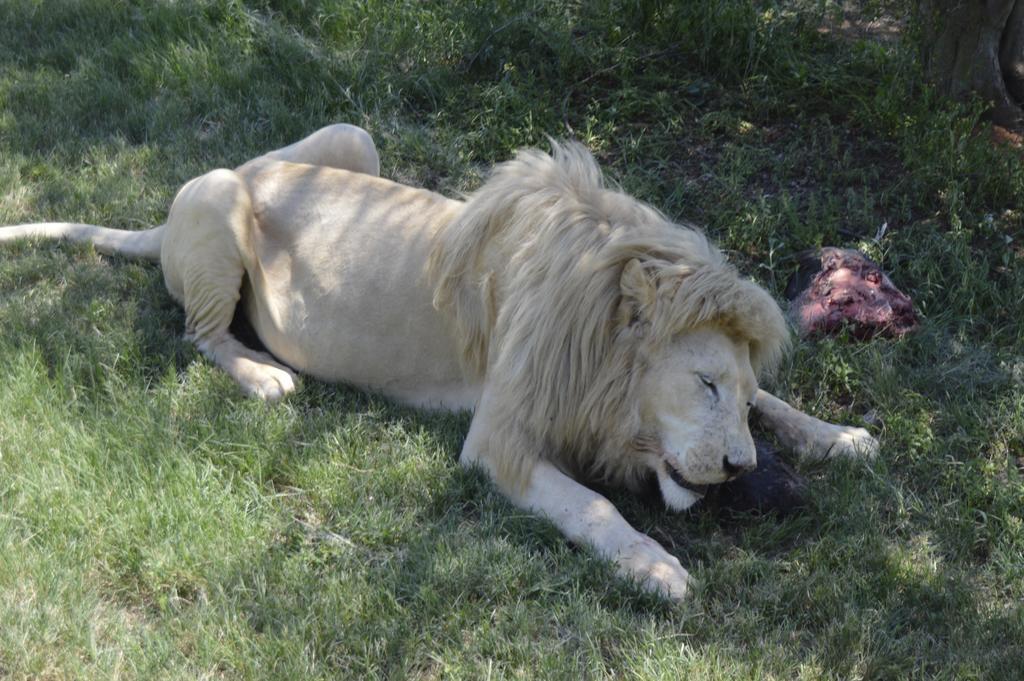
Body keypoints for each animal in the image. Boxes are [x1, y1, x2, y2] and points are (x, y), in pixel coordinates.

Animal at [0, 124, 880, 598]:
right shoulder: (499, 439)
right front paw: (655, 566)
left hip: (351, 139)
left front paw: (840, 436)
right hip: (218, 203)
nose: (739, 468)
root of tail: (176, 202)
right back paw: (265, 374)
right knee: (201, 335)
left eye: (736, 389)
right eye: (702, 384)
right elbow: (594, 506)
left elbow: (783, 412)